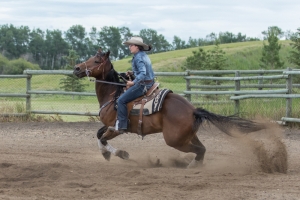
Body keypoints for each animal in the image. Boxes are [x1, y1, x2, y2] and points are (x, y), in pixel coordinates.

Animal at [73, 48, 264, 169]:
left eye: (96, 60)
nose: (76, 68)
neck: (114, 94)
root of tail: (192, 110)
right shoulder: (109, 126)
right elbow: (98, 135)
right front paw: (106, 154)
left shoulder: (116, 128)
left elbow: (103, 138)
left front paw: (121, 153)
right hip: (188, 136)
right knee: (202, 149)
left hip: (175, 140)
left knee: (200, 150)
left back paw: (191, 165)